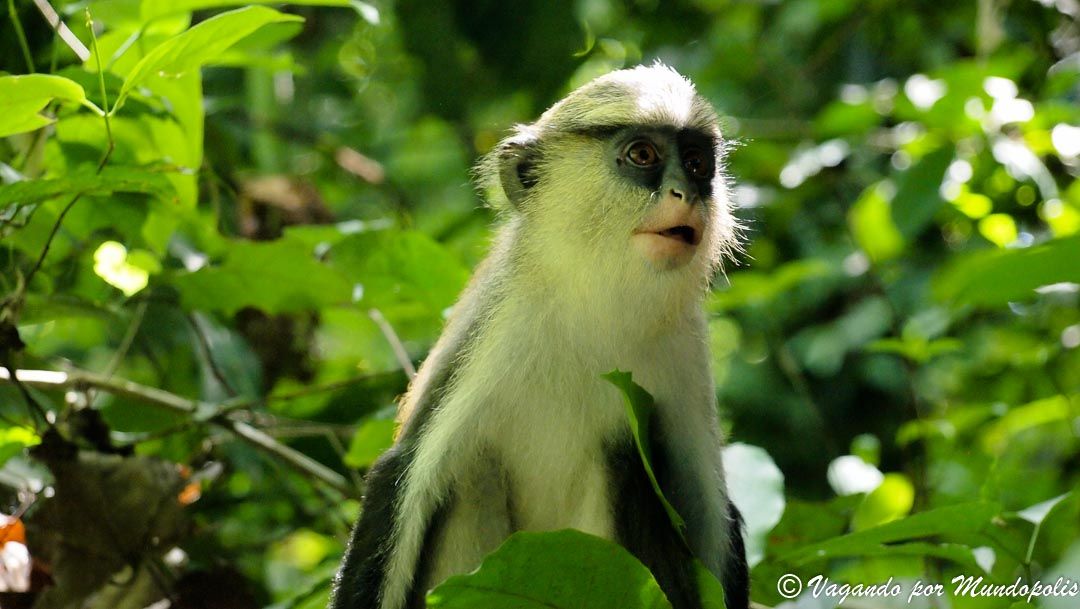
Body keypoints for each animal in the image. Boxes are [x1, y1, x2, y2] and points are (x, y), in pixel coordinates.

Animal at [329, 63, 749, 609]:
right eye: (643, 155)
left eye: (698, 164)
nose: (688, 194)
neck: (597, 308)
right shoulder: (495, 333)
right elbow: (396, 479)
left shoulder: (684, 351)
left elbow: (718, 518)